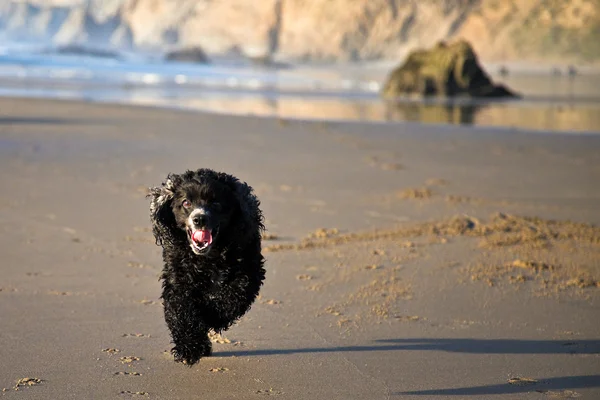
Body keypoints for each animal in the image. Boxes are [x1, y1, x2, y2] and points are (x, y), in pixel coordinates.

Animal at [148, 169, 264, 366]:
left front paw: (209, 316)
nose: (199, 218)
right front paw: (191, 347)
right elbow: (181, 312)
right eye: (186, 202)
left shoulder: (249, 272)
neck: (208, 258)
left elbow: (233, 298)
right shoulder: (178, 280)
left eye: (215, 203)